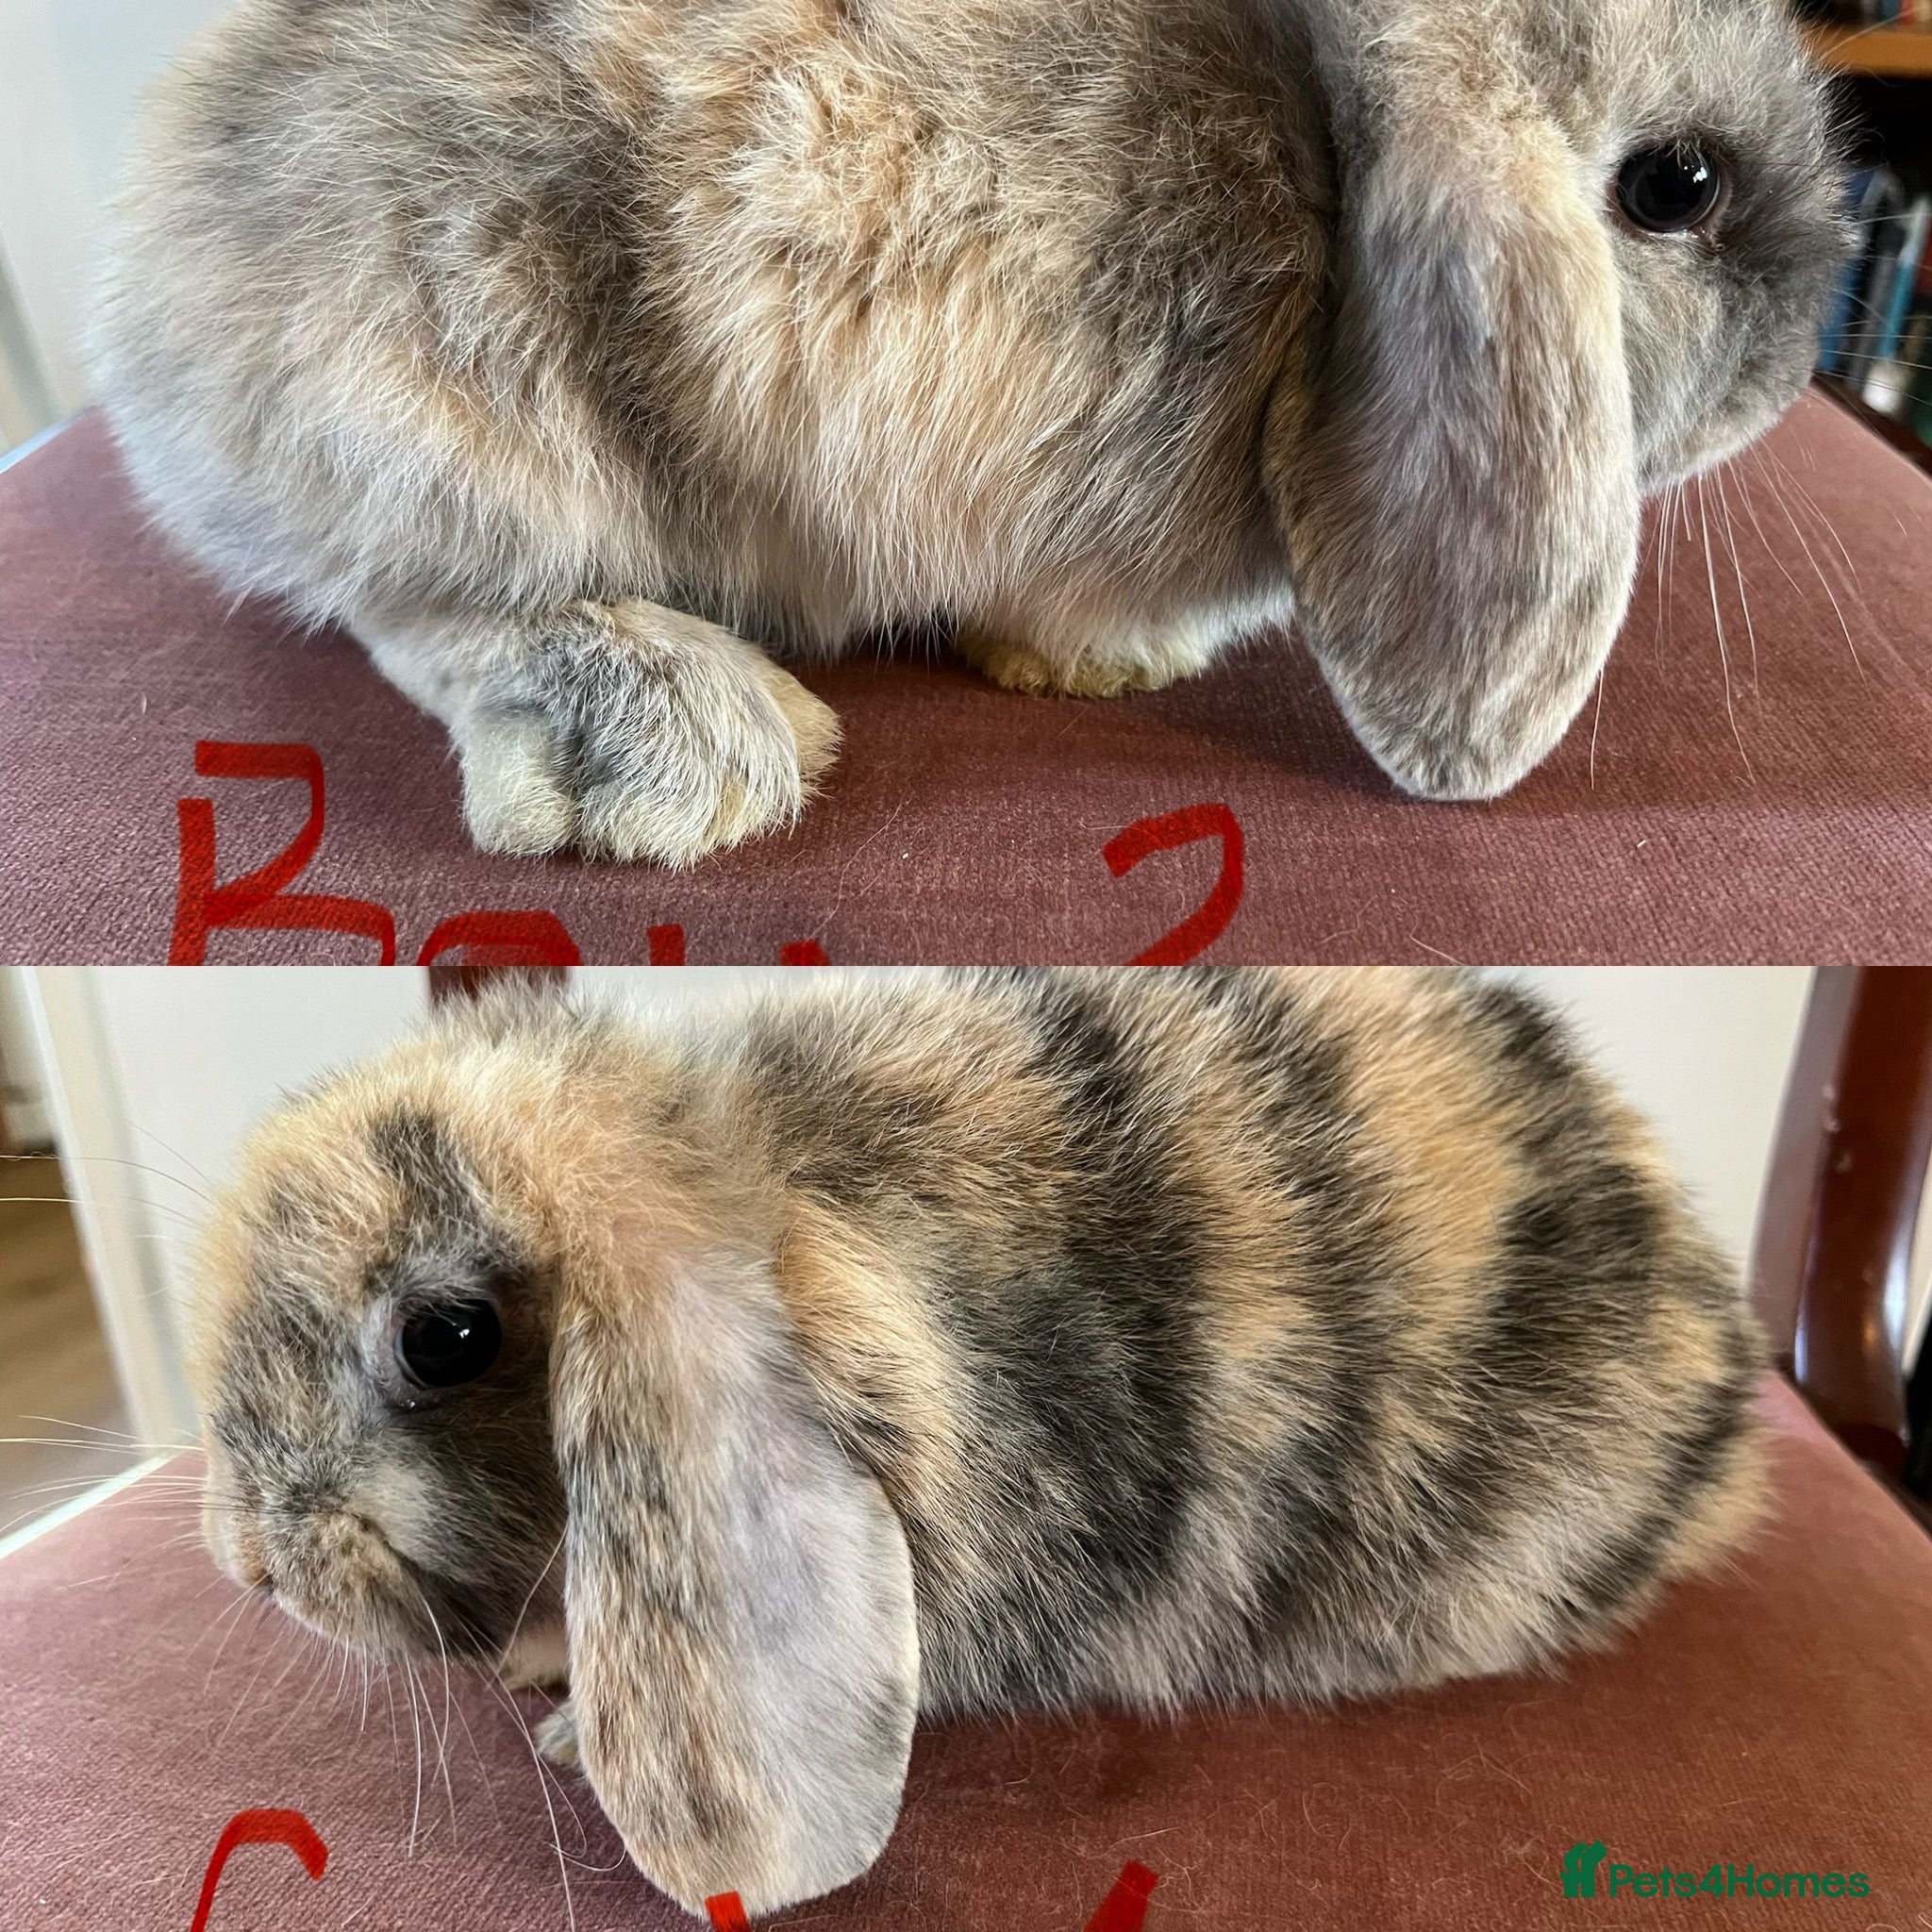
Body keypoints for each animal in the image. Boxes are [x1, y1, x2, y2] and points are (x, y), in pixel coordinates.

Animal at [92, 0, 1847, 866]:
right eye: (1677, 186)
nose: (1787, 371)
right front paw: (1101, 666)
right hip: (454, 392)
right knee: (412, 610)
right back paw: (668, 747)